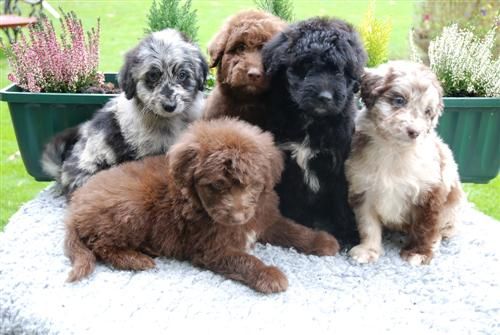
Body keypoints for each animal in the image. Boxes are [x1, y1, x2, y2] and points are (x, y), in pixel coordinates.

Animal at [64, 118, 338, 294]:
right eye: (216, 186)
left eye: (252, 184)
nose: (238, 216)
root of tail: (75, 205)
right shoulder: (212, 247)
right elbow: (243, 259)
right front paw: (269, 274)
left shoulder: (265, 218)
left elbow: (293, 230)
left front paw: (323, 241)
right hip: (130, 210)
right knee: (101, 244)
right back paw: (135, 259)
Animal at [262, 17, 368, 244]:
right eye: (306, 65)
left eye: (339, 71)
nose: (325, 97)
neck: (312, 121)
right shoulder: (286, 161)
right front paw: (297, 226)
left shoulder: (339, 164)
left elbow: (341, 201)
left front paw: (348, 235)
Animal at [346, 59, 462, 266]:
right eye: (399, 100)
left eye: (427, 112)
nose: (415, 132)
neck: (394, 151)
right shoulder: (363, 188)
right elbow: (368, 225)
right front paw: (368, 250)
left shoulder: (431, 193)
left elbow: (426, 227)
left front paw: (419, 253)